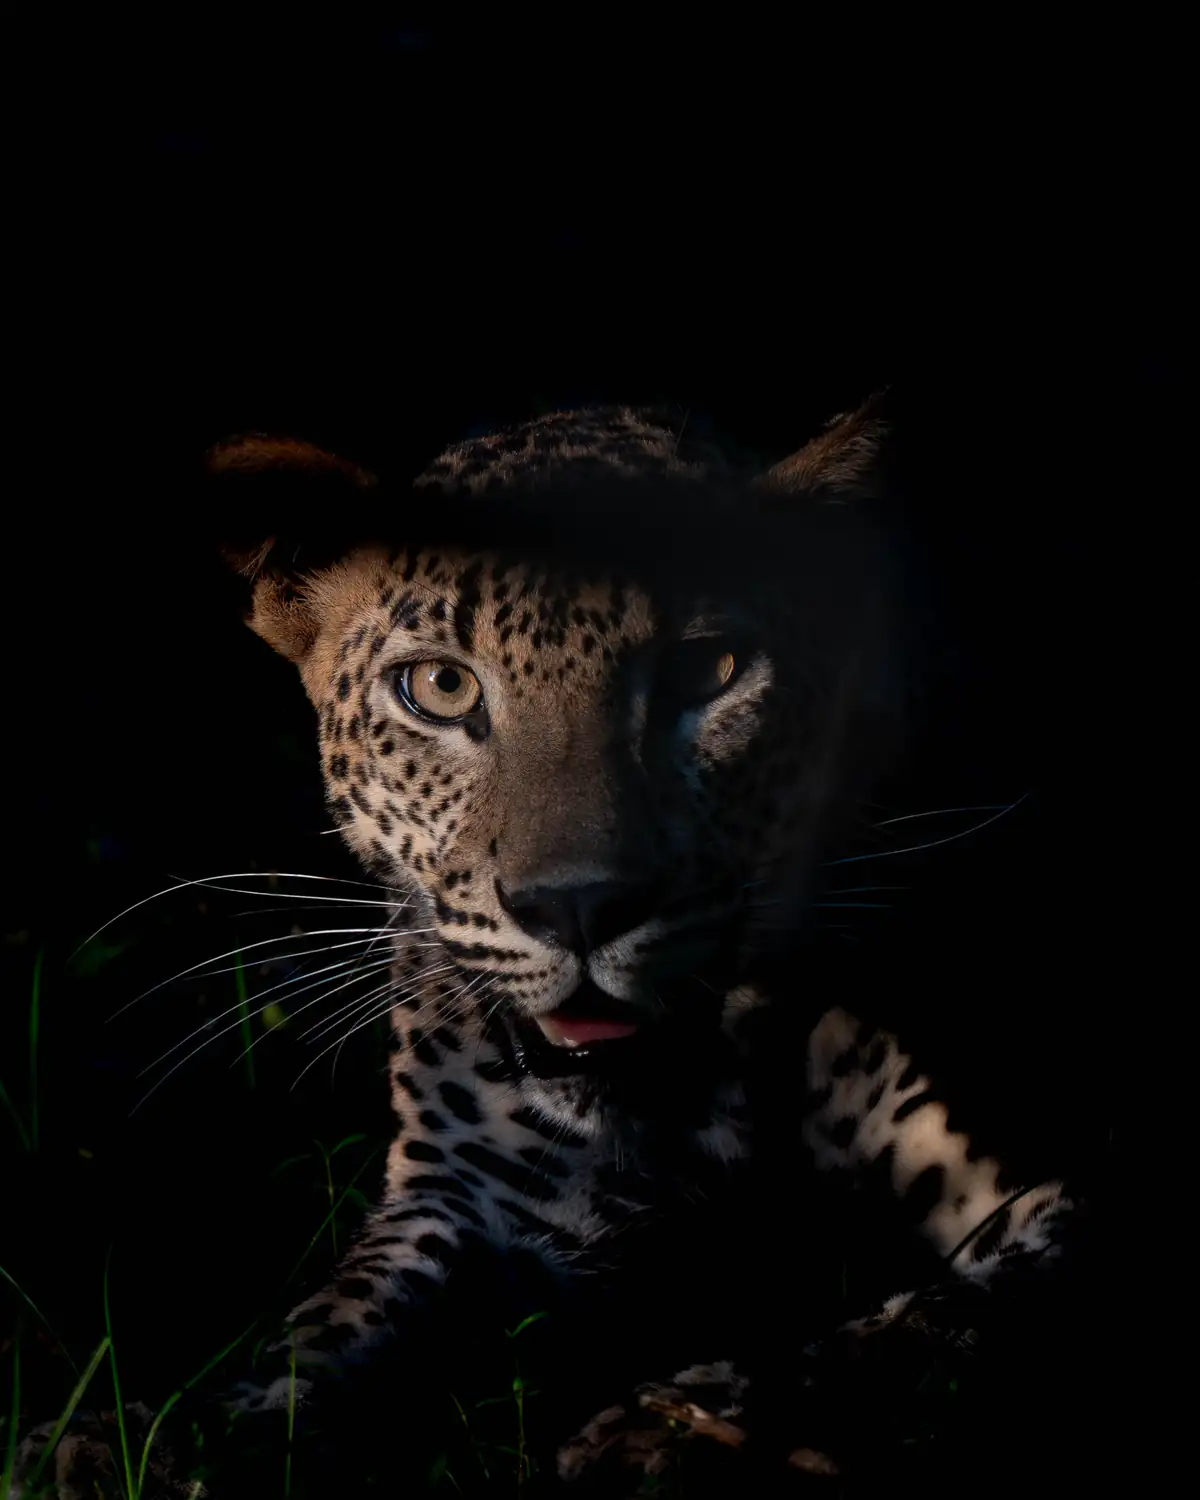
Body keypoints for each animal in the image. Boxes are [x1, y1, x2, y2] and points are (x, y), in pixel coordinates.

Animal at [14, 400, 1082, 1496]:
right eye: (441, 687)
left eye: (709, 672)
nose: (577, 906)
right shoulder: (462, 1193)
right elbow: (329, 1322)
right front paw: (166, 1435)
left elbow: (918, 1324)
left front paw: (673, 1432)